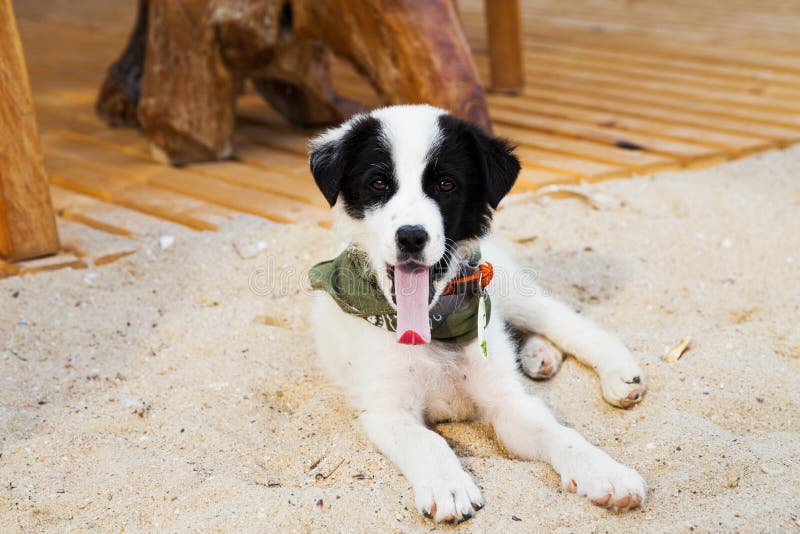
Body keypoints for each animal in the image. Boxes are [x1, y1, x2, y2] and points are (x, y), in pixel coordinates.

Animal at [310, 107, 648, 524]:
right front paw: (448, 486)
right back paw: (539, 355)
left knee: (565, 322)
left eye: (446, 184)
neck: (435, 325)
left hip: (512, 292)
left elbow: (561, 434)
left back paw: (618, 371)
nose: (411, 236)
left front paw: (605, 471)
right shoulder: (387, 409)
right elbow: (427, 441)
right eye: (378, 183)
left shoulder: (507, 401)